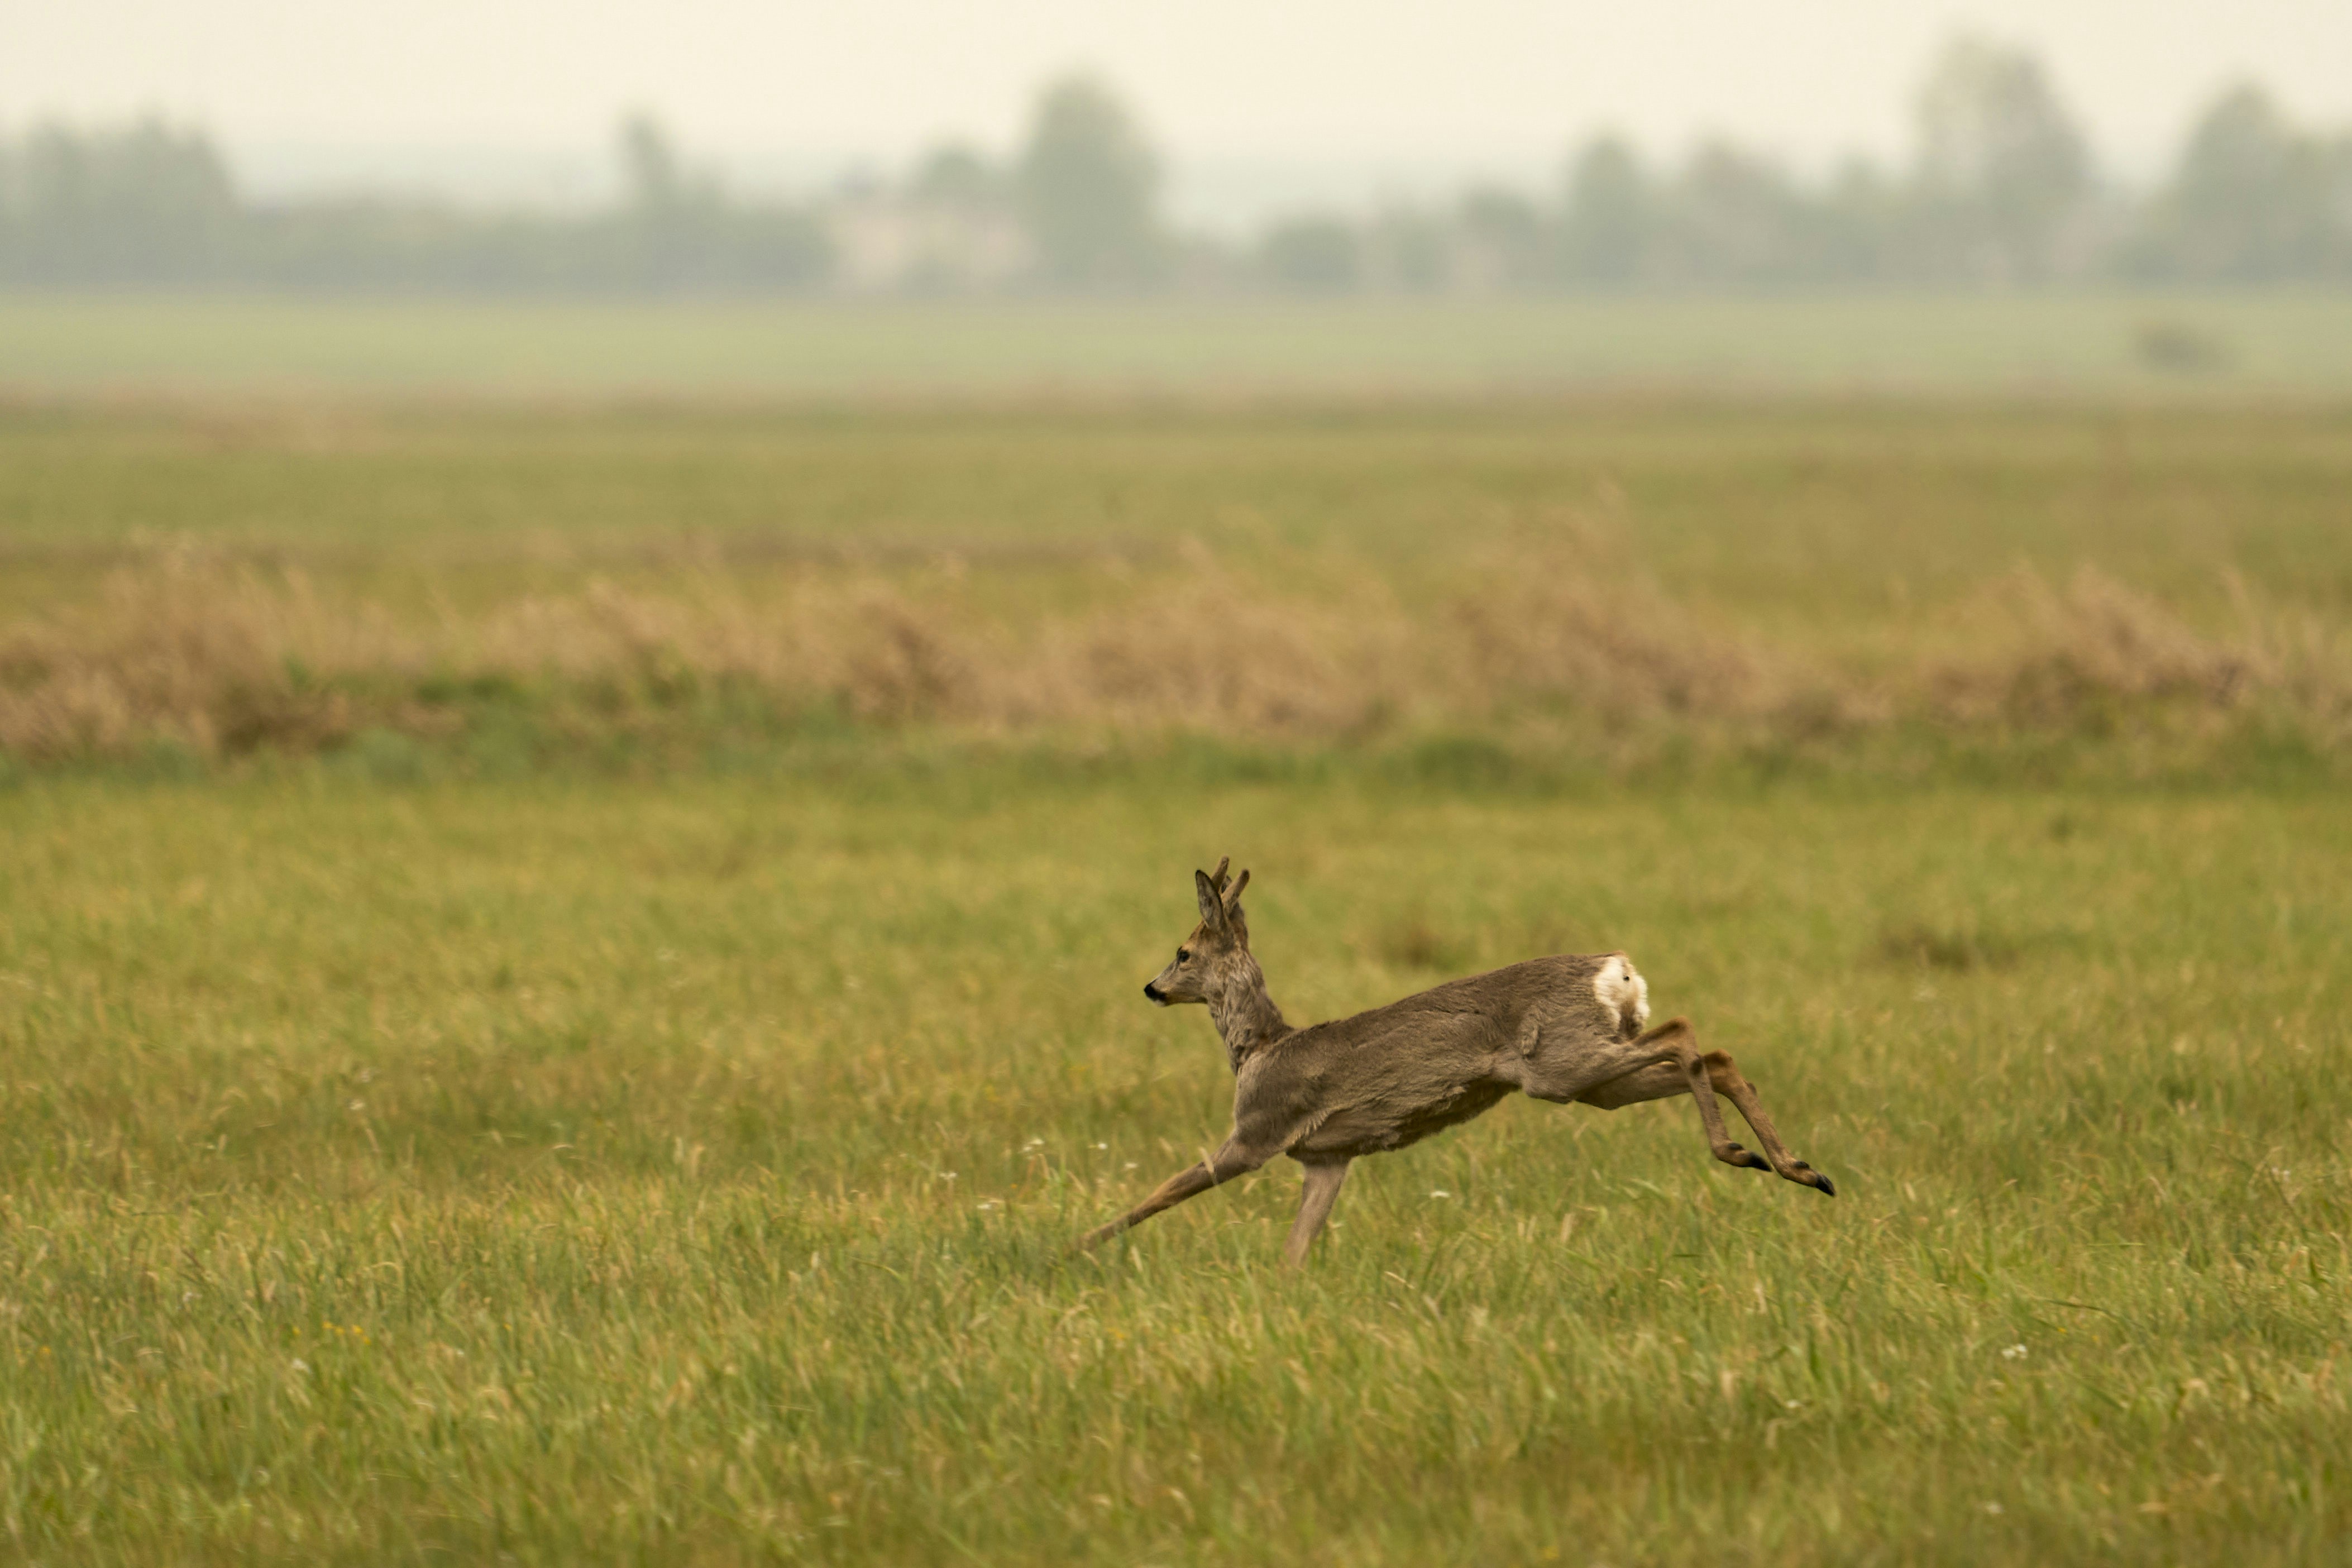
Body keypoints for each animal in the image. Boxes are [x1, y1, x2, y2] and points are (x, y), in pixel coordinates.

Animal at [1077, 858, 1834, 1266]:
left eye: (1182, 952)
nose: (1151, 988)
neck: (1259, 1049)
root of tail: (1618, 971)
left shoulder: (1257, 1132)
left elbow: (1169, 1188)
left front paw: (1075, 1244)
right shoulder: (1328, 1158)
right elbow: (1296, 1246)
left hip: (1564, 1064)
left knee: (1689, 1036)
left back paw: (1744, 1153)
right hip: (1594, 1080)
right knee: (1714, 1056)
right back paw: (1799, 1168)